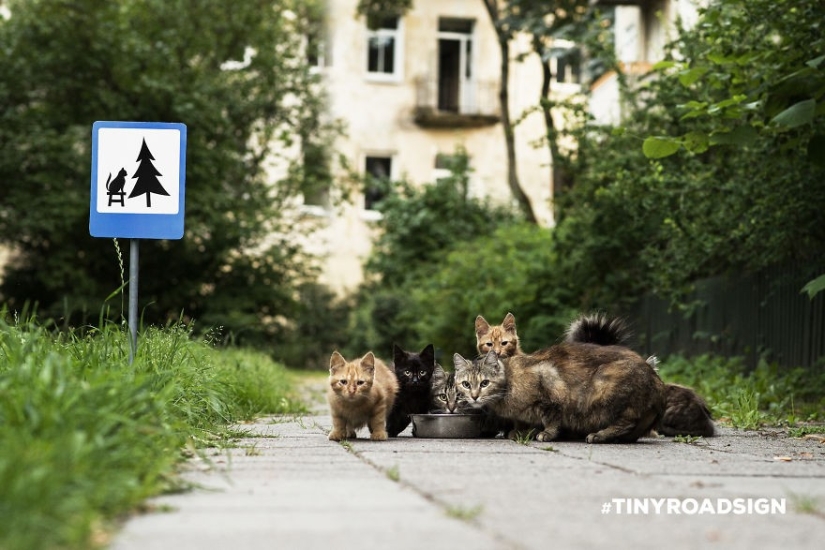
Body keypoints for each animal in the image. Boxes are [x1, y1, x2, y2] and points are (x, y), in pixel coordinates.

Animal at [454, 348, 668, 446]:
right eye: (466, 384)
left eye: (484, 383)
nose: (474, 396)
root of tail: (657, 381)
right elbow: (520, 421)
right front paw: (520, 431)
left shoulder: (551, 388)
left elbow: (552, 417)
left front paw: (546, 433)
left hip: (607, 389)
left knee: (627, 422)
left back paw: (600, 435)